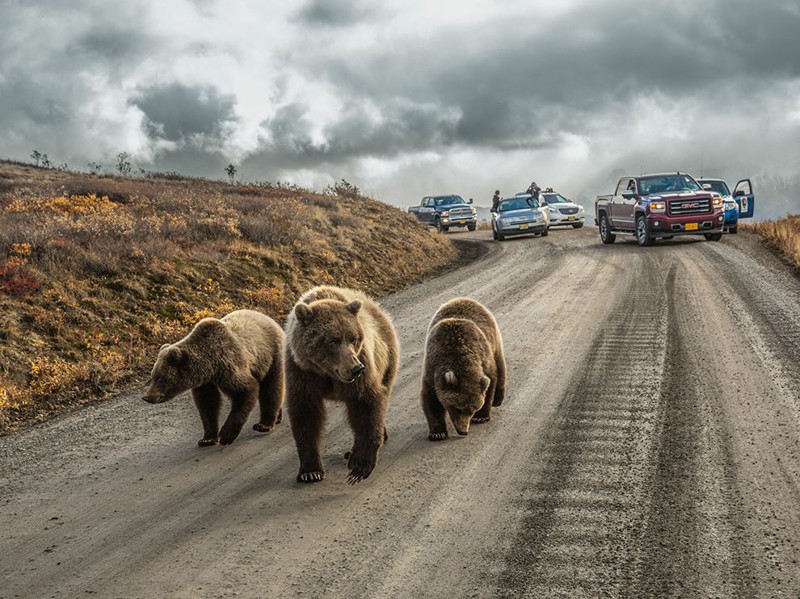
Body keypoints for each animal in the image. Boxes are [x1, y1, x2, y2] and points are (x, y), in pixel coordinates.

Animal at [143, 310, 284, 446]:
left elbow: (245, 390)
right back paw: (277, 418)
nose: (147, 397)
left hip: (271, 355)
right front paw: (207, 439)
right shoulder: (205, 382)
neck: (209, 366)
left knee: (272, 387)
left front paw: (226, 434)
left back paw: (265, 424)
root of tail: (269, 319)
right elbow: (208, 404)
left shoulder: (228, 364)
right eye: (152, 376)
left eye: (160, 378)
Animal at [286, 288, 400, 488]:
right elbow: (305, 415)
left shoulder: (363, 363)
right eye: (333, 340)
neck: (326, 372)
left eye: (353, 338)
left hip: (387, 358)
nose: (356, 368)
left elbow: (365, 403)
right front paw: (310, 472)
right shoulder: (301, 372)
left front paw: (359, 467)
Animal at [418, 298, 506, 440]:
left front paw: (481, 417)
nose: (463, 431)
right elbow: (430, 399)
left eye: (473, 409)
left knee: (501, 365)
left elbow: (490, 382)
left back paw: (498, 399)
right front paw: (437, 432)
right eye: (457, 408)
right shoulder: (432, 368)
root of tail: (464, 299)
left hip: (493, 339)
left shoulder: (484, 360)